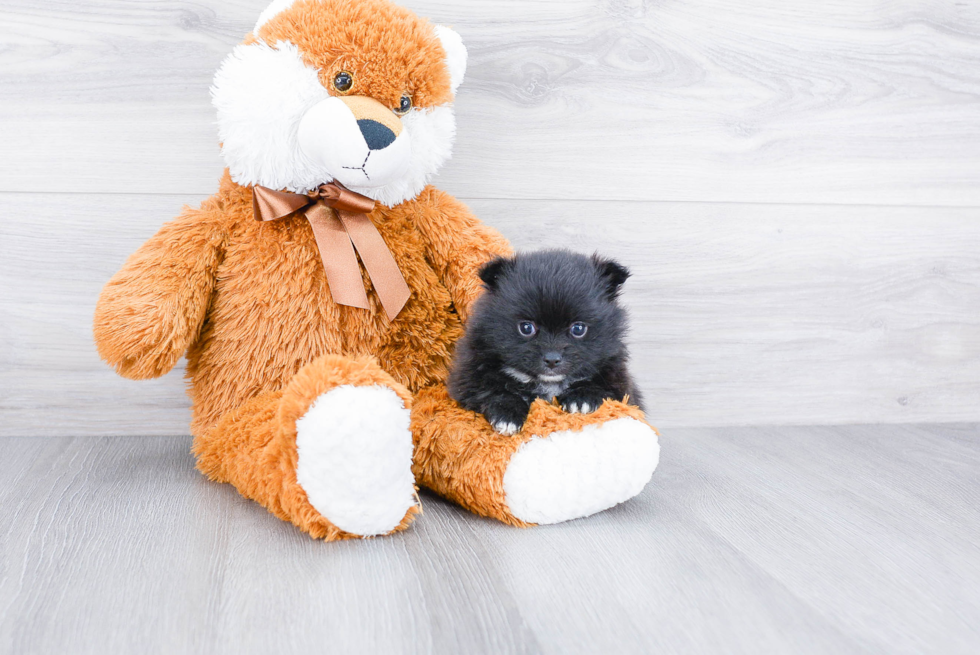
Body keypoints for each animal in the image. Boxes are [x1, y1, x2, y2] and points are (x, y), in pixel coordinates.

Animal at [446, 251, 644, 436]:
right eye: (526, 328)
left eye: (578, 329)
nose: (552, 359)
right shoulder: (468, 379)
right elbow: (492, 391)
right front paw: (507, 415)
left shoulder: (621, 385)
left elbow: (603, 388)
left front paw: (581, 398)